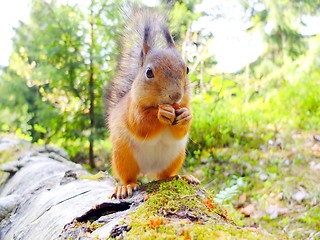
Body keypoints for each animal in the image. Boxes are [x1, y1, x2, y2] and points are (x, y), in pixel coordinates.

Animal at [106, 7, 199, 199]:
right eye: (148, 72)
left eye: (187, 69)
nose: (176, 96)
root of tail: (148, 170)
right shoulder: (131, 110)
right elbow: (140, 125)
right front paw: (161, 114)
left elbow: (182, 129)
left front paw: (186, 115)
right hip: (123, 157)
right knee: (129, 176)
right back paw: (125, 187)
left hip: (175, 157)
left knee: (165, 175)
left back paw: (183, 176)